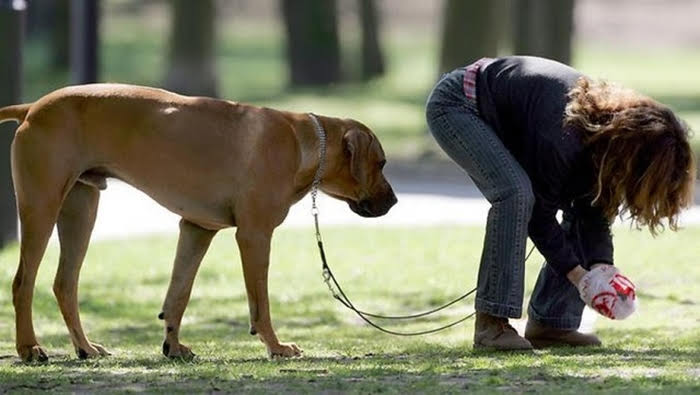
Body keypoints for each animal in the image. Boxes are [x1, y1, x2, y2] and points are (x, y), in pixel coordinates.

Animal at [0, 83, 396, 362]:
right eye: (381, 163)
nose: (393, 201)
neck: (304, 143)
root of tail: (32, 108)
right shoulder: (254, 235)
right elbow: (260, 303)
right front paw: (275, 346)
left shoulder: (196, 229)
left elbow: (179, 294)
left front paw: (173, 346)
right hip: (41, 206)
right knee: (23, 282)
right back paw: (29, 349)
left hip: (81, 210)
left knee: (64, 284)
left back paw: (84, 347)